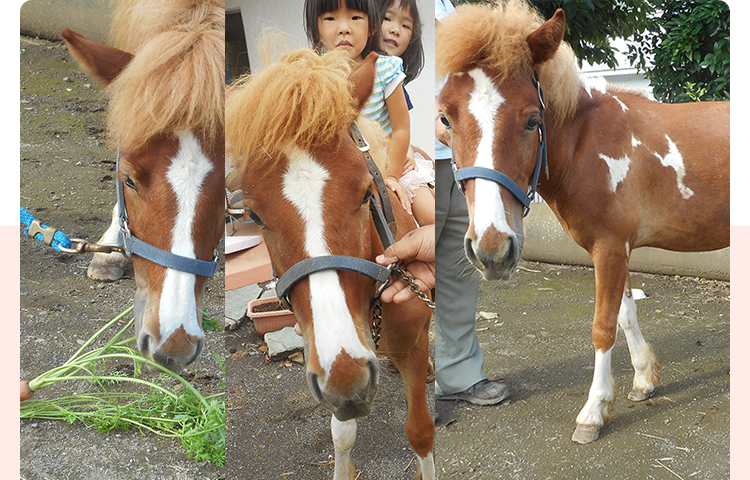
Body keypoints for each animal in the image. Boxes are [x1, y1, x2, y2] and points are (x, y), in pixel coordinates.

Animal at [226, 47, 438, 476]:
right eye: (254, 215)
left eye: (366, 192)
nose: (345, 375)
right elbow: (342, 433)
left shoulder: (411, 347)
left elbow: (420, 431)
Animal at [438, 2, 732, 446]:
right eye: (445, 119)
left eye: (532, 120)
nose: (492, 249)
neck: (586, 143)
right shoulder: (618, 250)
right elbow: (625, 314)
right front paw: (644, 380)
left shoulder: (610, 248)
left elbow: (603, 327)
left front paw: (594, 412)